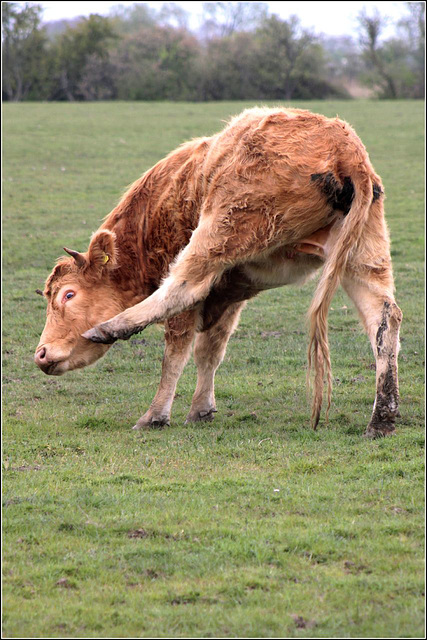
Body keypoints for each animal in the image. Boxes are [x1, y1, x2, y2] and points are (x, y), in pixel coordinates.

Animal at [35, 110, 402, 440]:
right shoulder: (231, 292)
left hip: (219, 231)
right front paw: (201, 409)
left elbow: (177, 351)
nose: (40, 354)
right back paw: (382, 418)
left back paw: (111, 329)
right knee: (384, 318)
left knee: (180, 288)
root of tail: (343, 147)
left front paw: (157, 415)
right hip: (360, 257)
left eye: (69, 294)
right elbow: (210, 350)